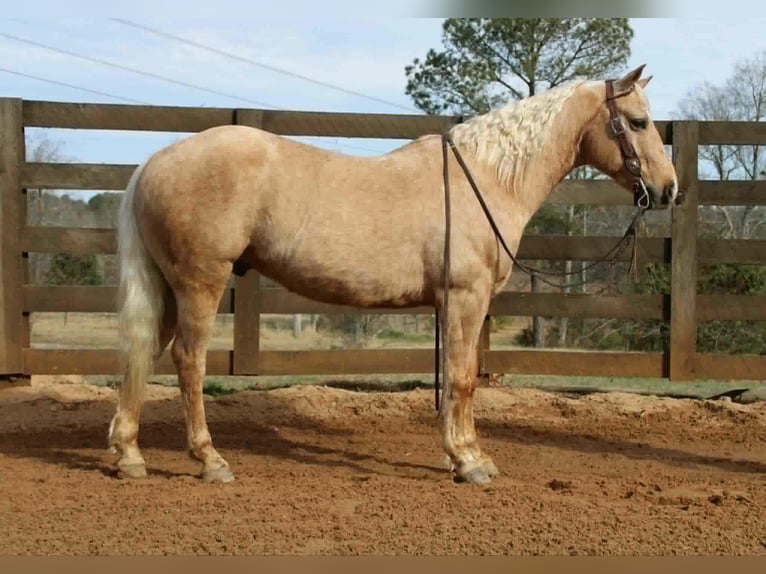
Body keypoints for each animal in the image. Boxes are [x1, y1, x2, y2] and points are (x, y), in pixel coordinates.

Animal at [108, 64, 677, 485]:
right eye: (639, 122)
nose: (669, 189)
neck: (485, 178)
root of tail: (154, 161)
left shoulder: (454, 305)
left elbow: (457, 377)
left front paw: (465, 455)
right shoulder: (465, 298)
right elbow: (463, 378)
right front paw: (468, 462)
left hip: (167, 288)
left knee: (144, 352)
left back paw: (129, 455)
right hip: (199, 283)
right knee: (188, 361)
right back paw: (210, 460)